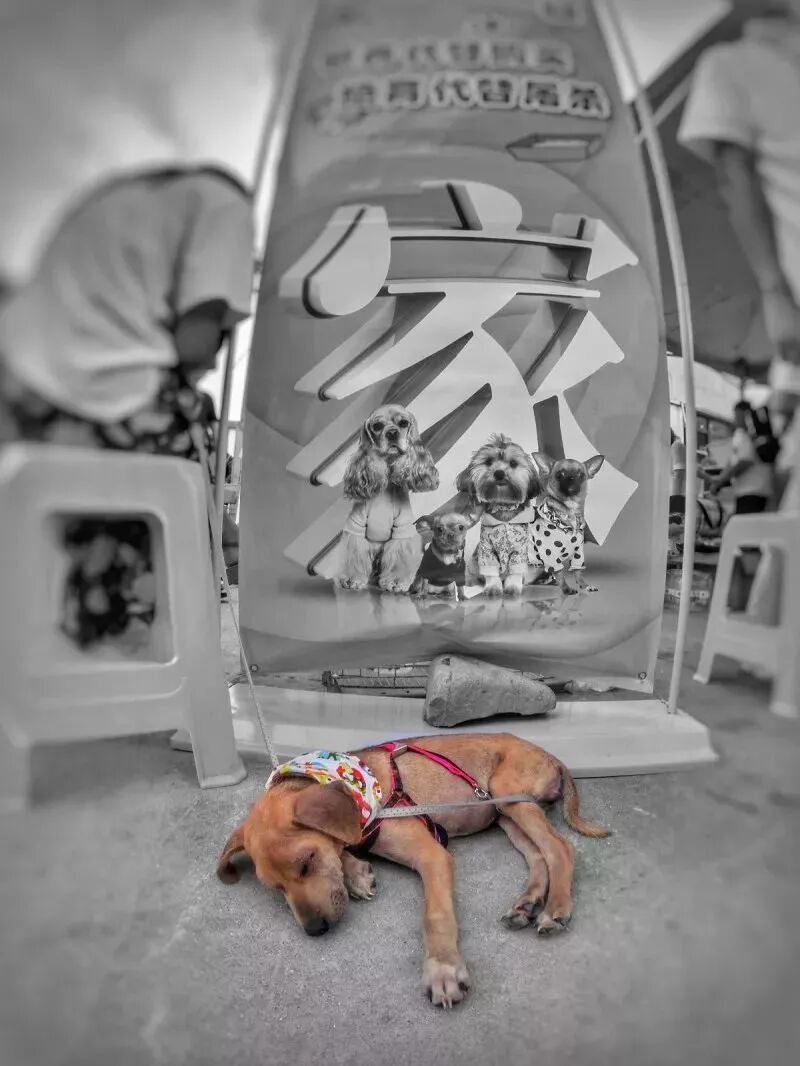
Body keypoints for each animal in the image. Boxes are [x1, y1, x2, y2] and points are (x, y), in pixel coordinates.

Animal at [216, 733, 609, 1008]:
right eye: (275, 887)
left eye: (306, 861)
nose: (316, 930)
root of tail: (551, 756)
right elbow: (342, 846)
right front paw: (355, 872)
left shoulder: (432, 855)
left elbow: (435, 916)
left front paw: (443, 970)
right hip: (505, 813)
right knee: (538, 856)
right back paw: (527, 903)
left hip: (509, 793)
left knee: (559, 848)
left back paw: (555, 909)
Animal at [336, 404, 439, 593]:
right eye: (377, 426)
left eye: (404, 423)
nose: (392, 433)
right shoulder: (356, 526)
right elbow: (355, 555)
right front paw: (351, 579)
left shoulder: (402, 529)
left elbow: (399, 556)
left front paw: (396, 582)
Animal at [457, 434, 540, 597]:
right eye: (488, 461)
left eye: (513, 463)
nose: (499, 473)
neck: (503, 506)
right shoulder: (486, 551)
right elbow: (490, 573)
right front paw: (493, 588)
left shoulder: (520, 551)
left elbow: (515, 573)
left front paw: (512, 587)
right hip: (474, 564)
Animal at [529, 452, 604, 595]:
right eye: (560, 474)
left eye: (581, 474)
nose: (571, 477)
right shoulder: (550, 555)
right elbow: (559, 573)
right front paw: (566, 588)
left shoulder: (578, 553)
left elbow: (578, 571)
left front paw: (584, 585)